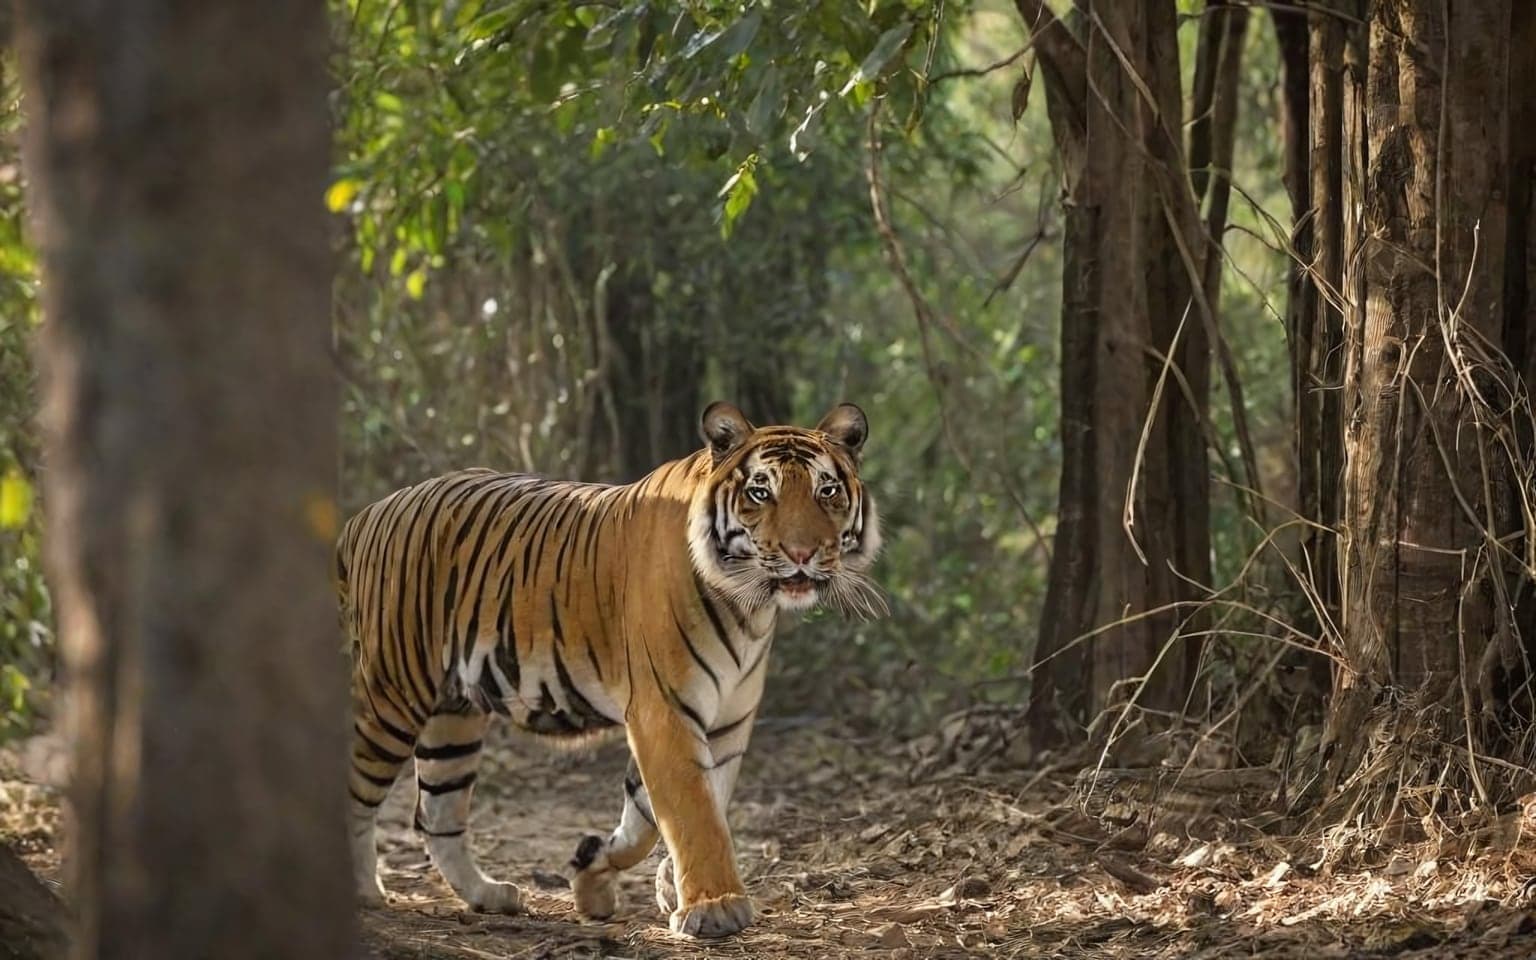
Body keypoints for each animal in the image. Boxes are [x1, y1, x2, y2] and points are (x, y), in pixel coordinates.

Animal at [336, 401, 883, 938]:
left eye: (827, 491)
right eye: (760, 492)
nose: (801, 554)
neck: (749, 606)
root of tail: (368, 514)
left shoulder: (726, 723)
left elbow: (661, 814)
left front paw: (601, 873)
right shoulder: (665, 710)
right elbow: (694, 813)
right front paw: (716, 907)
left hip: (454, 715)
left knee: (437, 814)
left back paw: (490, 895)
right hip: (392, 693)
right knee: (359, 792)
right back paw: (364, 893)